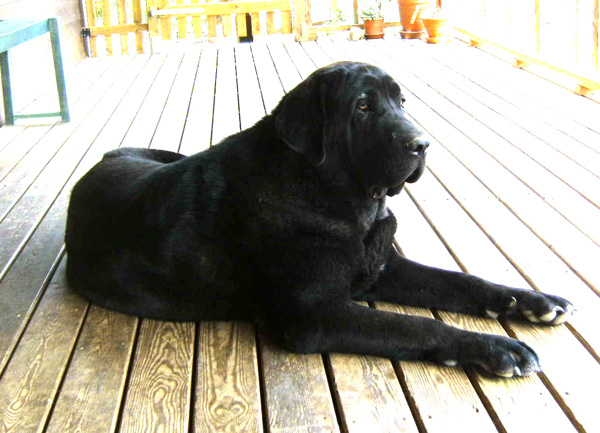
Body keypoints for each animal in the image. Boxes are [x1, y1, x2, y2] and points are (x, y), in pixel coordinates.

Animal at [64, 61, 572, 378]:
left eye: (402, 102)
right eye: (363, 107)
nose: (422, 143)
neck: (350, 203)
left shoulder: (382, 268)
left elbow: (462, 282)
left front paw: (530, 301)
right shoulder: (313, 312)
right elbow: (415, 325)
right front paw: (497, 347)